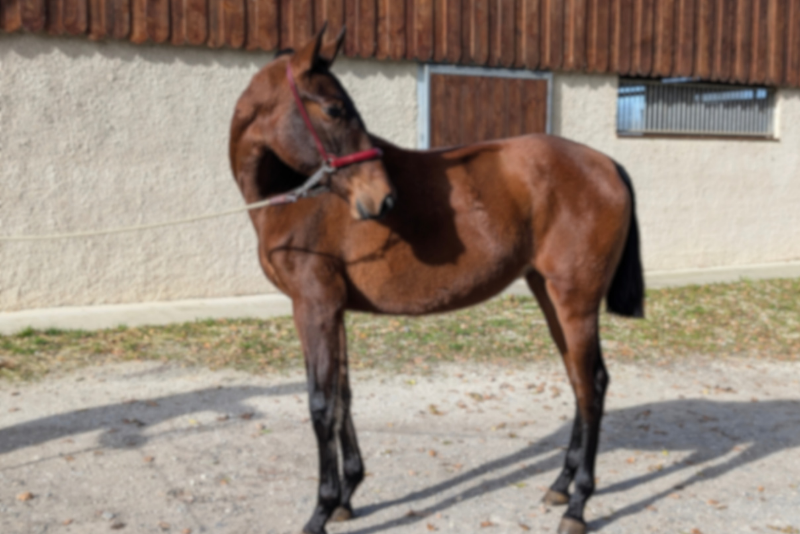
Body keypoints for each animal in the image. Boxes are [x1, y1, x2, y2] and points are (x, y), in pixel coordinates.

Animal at [229, 25, 644, 534]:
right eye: (333, 109)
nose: (383, 198)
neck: (298, 199)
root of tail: (607, 163)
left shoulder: (314, 307)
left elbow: (321, 404)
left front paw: (321, 510)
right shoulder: (332, 310)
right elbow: (343, 396)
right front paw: (347, 495)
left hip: (576, 301)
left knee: (592, 384)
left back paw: (578, 504)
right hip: (549, 296)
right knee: (580, 382)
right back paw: (561, 486)